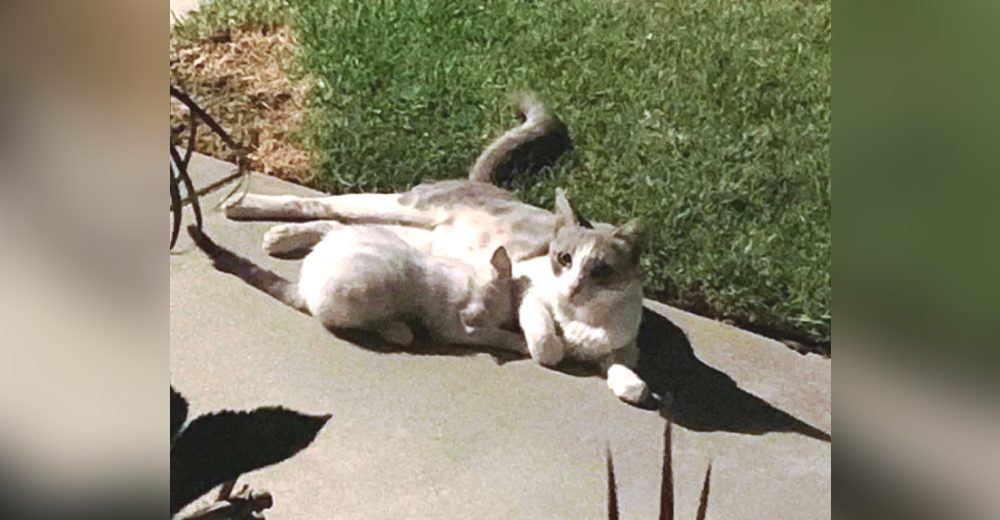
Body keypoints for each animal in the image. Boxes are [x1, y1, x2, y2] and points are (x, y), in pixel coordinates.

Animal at [223, 91, 652, 404]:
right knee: (321, 205)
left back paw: (281, 237)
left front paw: (629, 386)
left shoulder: (623, 349)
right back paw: (249, 211)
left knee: (338, 225)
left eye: (601, 270)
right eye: (564, 259)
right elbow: (547, 345)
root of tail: (482, 183)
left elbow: (630, 378)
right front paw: (550, 345)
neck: (583, 318)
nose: (574, 286)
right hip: (399, 208)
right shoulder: (524, 288)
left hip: (417, 238)